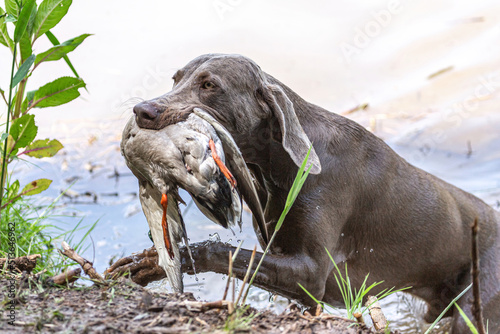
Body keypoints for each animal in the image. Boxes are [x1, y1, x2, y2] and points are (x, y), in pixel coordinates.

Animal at [110, 53, 500, 332]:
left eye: (209, 84)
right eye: (176, 78)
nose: (143, 110)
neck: (277, 167)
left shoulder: (310, 271)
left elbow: (223, 251)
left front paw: (157, 259)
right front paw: (144, 263)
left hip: (477, 303)